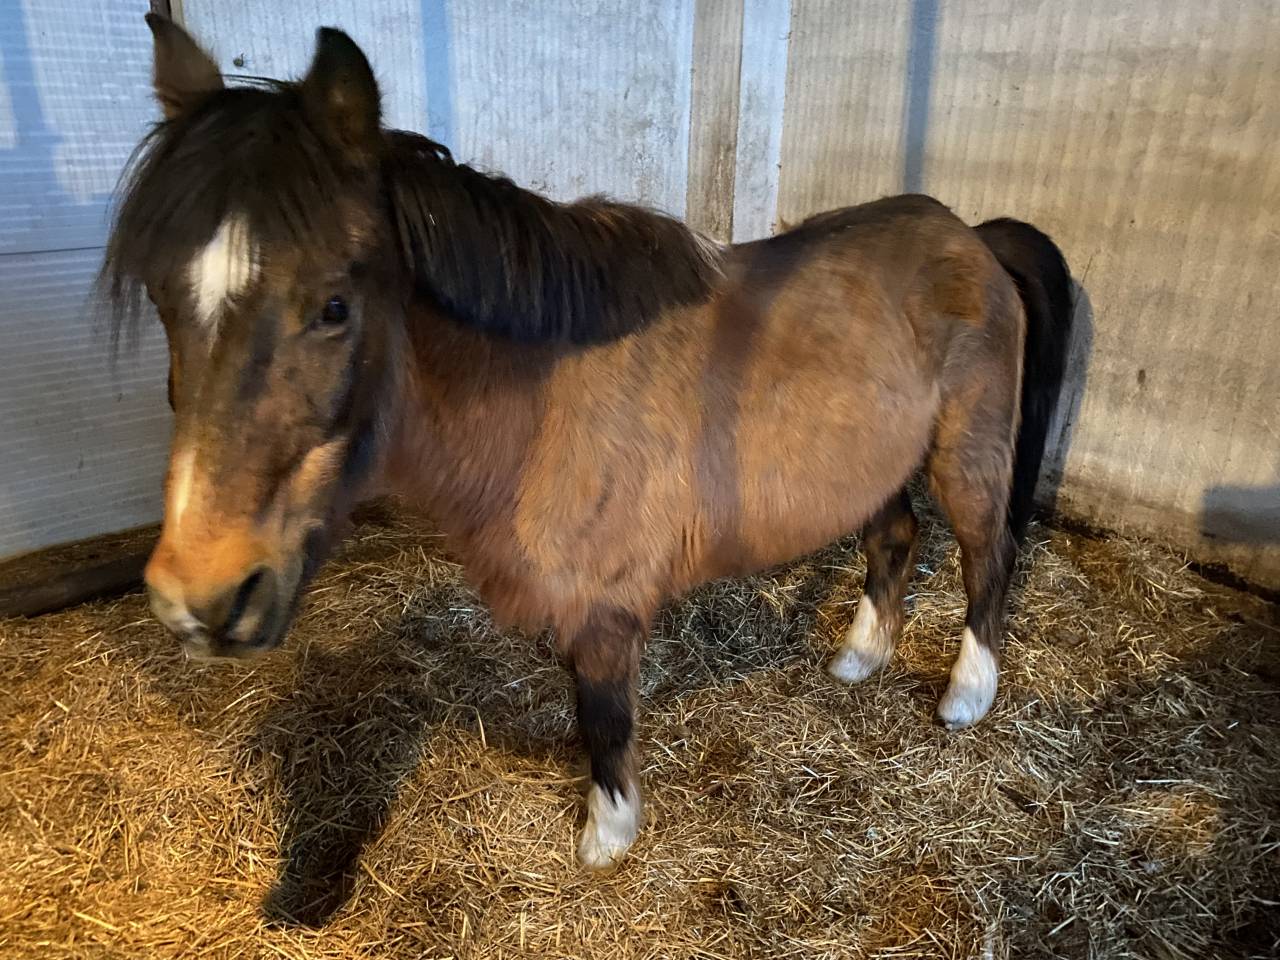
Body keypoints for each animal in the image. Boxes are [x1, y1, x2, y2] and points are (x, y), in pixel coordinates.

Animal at [101, 15, 1074, 870]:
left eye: (334, 305)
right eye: (161, 296)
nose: (202, 598)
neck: (541, 402)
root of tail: (972, 236)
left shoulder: (604, 608)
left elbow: (600, 713)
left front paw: (608, 834)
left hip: (968, 456)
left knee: (988, 555)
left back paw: (967, 693)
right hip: (877, 462)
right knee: (894, 539)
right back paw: (862, 656)